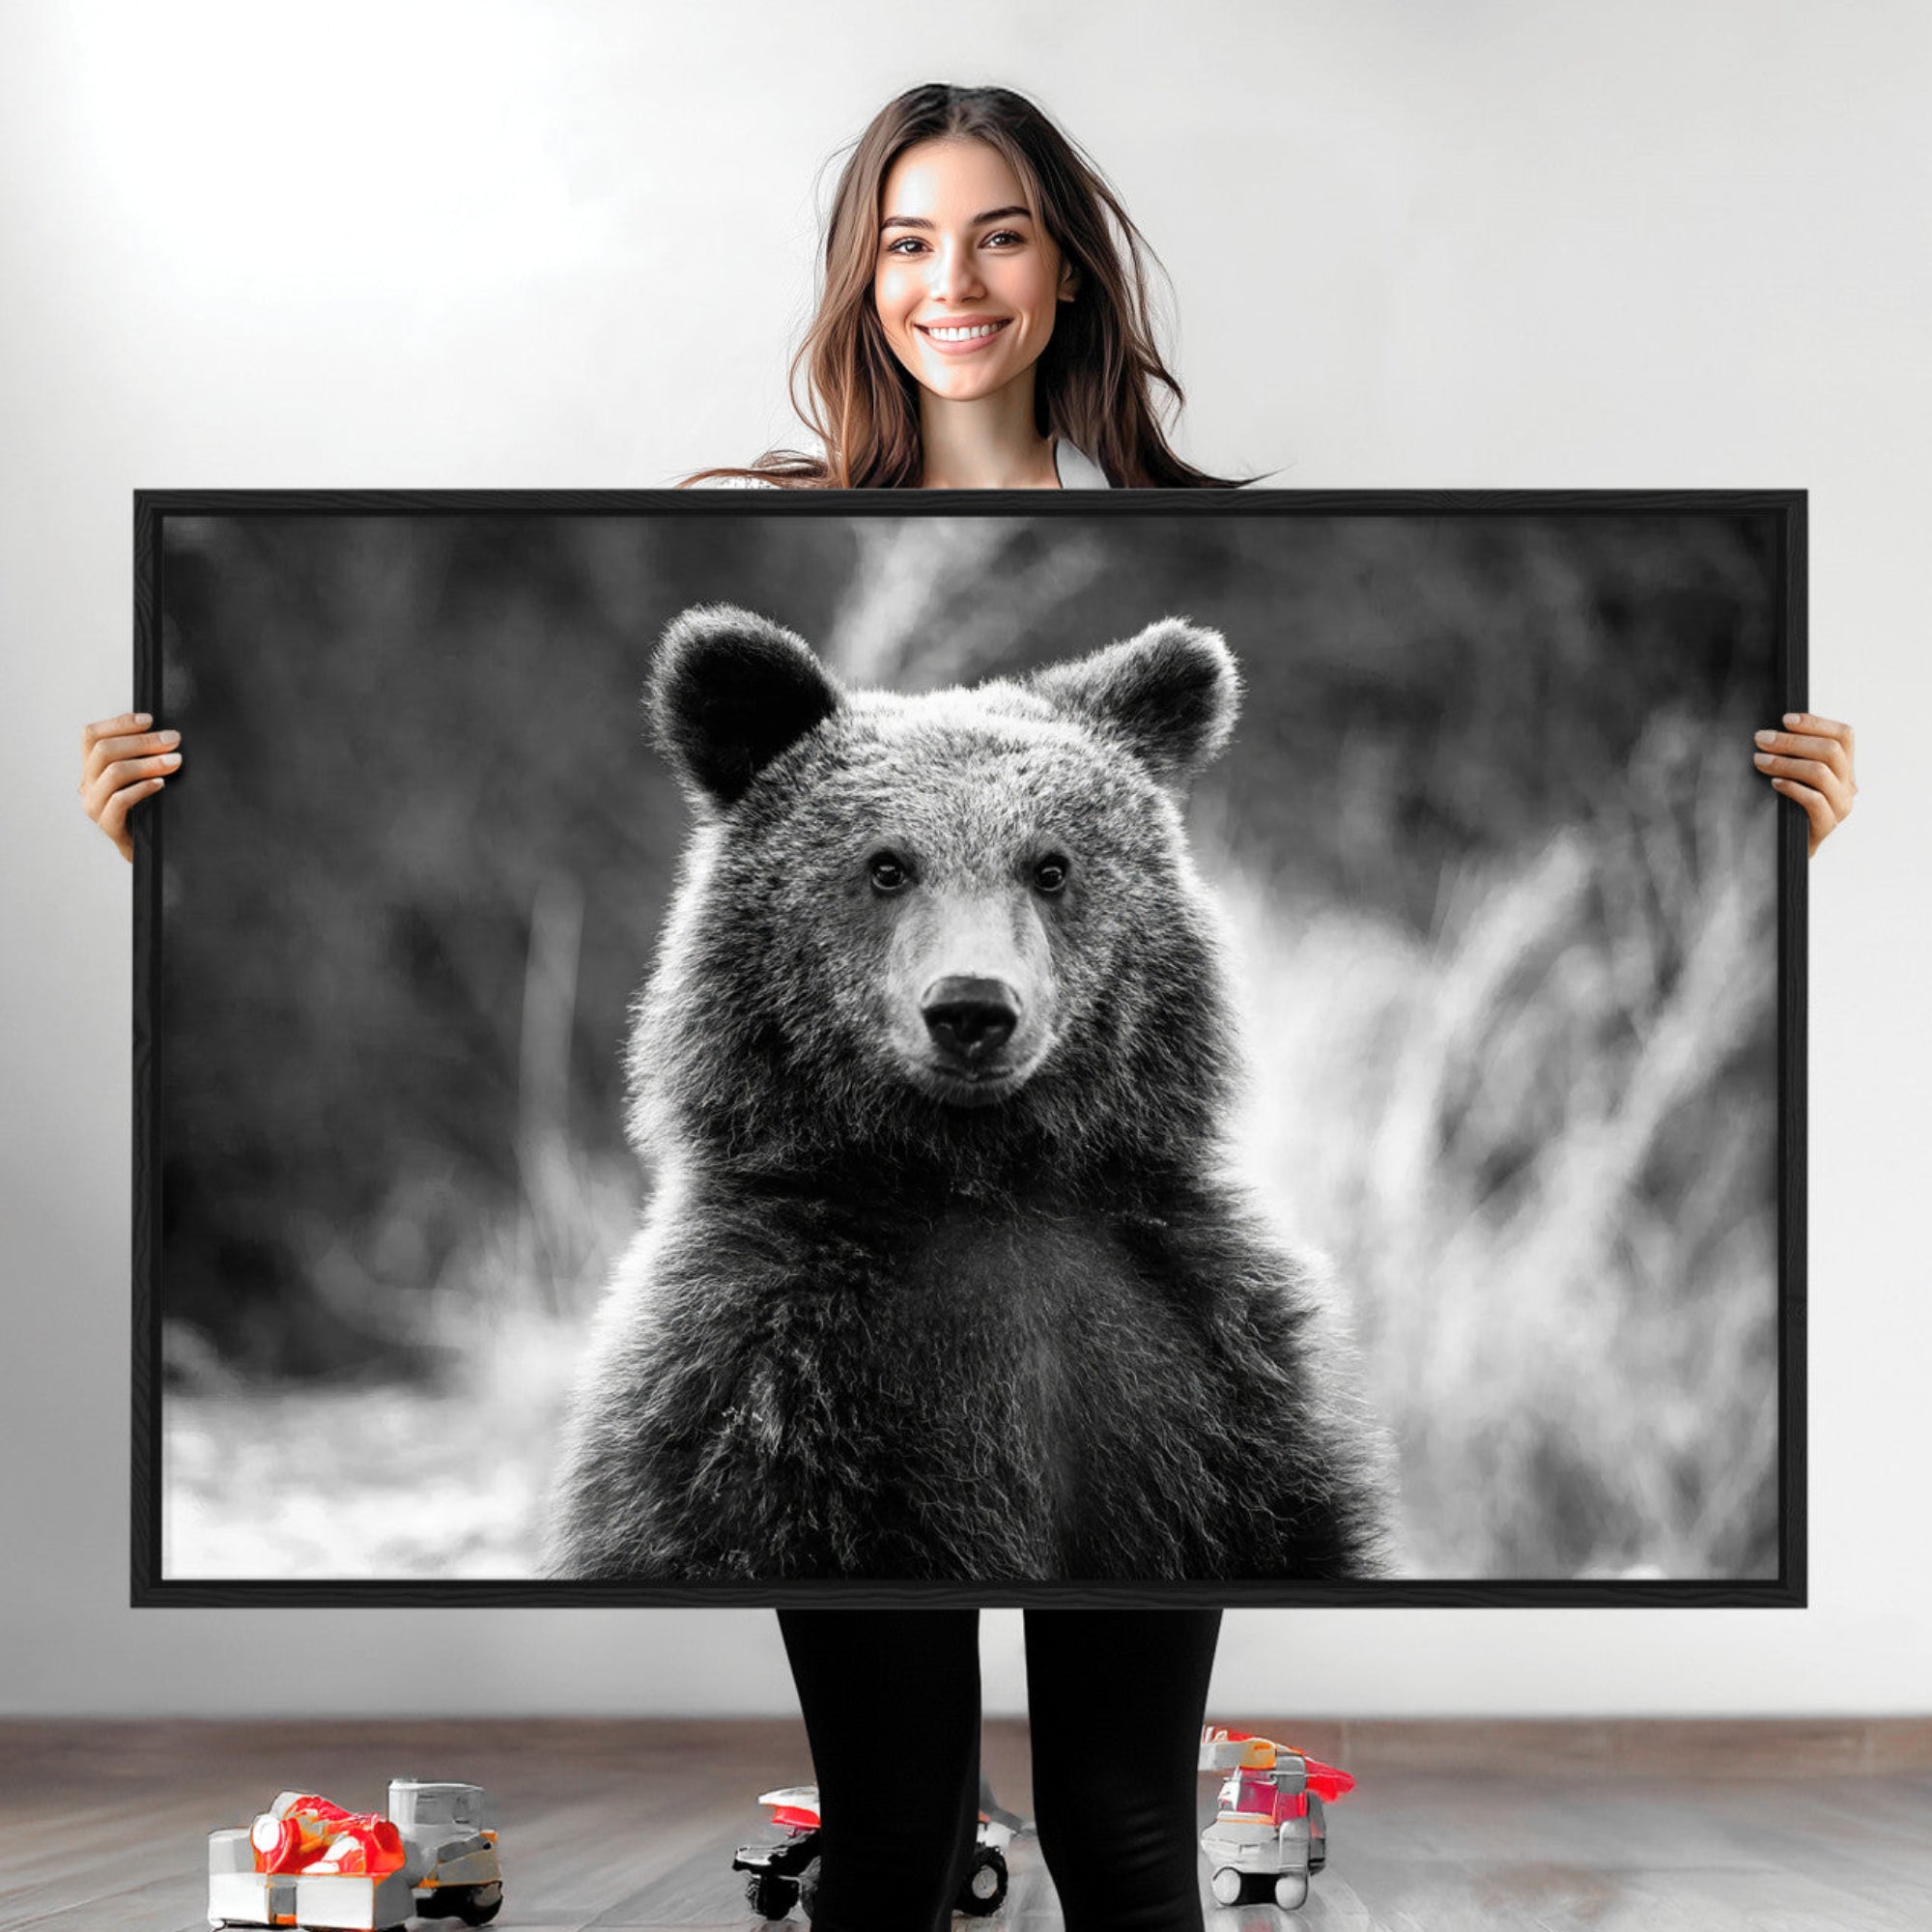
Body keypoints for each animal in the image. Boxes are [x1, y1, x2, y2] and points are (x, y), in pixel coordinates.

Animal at [544, 602, 1393, 1582]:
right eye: (886, 865)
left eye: (1051, 866)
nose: (972, 1008)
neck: (981, 1180)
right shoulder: (756, 1380)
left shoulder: (1215, 1364)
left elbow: (1287, 1524)